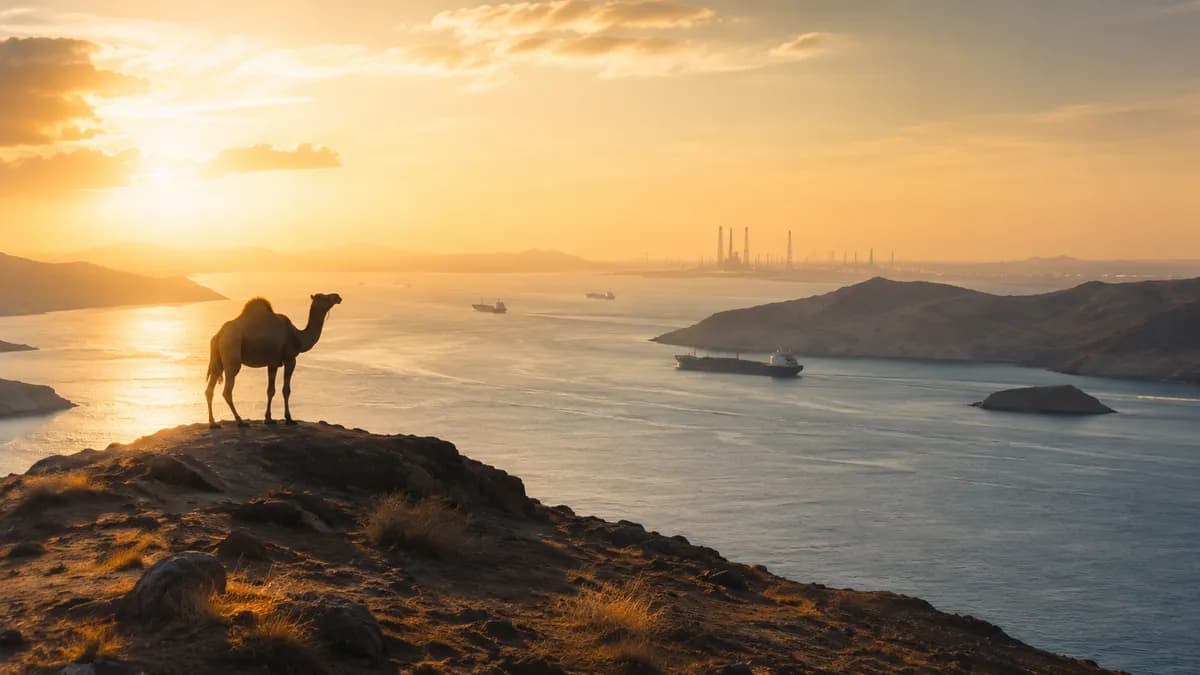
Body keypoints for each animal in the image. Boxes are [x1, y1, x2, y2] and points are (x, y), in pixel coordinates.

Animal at [205, 293, 342, 428]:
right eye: (325, 297)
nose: (338, 297)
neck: (297, 337)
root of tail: (218, 335)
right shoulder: (290, 359)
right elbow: (286, 390)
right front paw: (289, 419)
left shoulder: (272, 363)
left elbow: (270, 390)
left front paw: (268, 418)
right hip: (231, 353)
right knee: (227, 391)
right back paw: (240, 421)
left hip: (218, 362)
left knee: (209, 389)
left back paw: (213, 423)